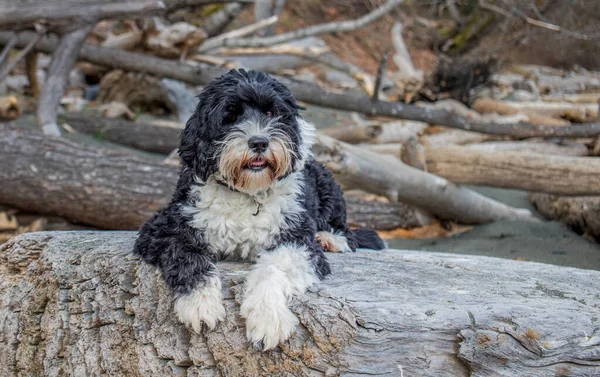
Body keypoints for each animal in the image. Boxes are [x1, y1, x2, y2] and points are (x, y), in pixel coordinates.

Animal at [133, 70, 384, 350]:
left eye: (271, 113)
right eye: (230, 116)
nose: (259, 142)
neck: (248, 193)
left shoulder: (298, 241)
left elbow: (273, 267)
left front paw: (268, 318)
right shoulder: (162, 229)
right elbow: (187, 256)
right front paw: (200, 303)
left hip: (327, 183)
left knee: (345, 230)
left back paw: (330, 238)